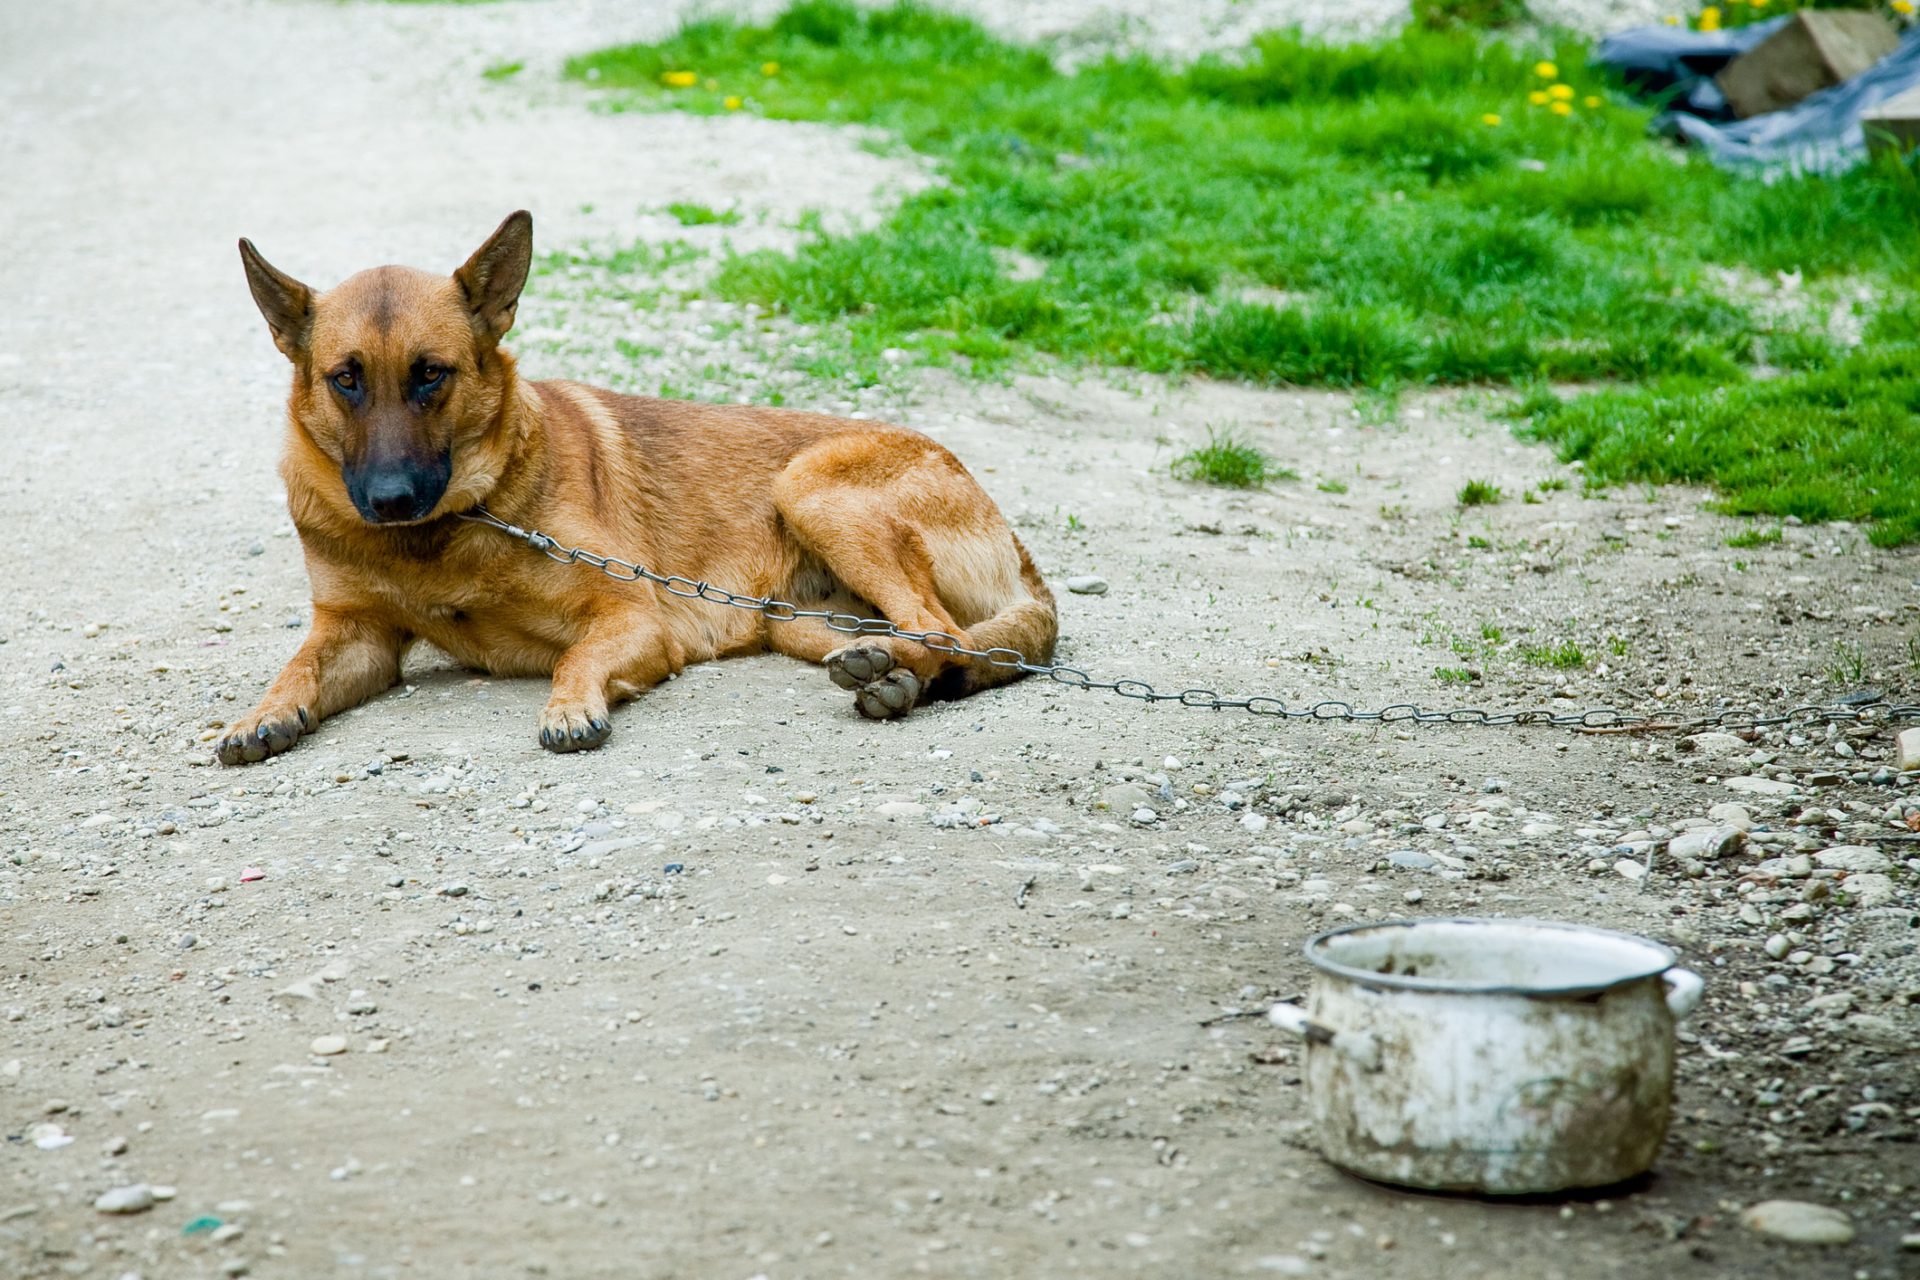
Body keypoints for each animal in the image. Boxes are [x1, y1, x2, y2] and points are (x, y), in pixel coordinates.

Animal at [219, 213, 1059, 767]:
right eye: (346, 379)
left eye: (432, 374)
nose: (391, 501)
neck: (443, 534)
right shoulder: (355, 633)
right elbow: (297, 667)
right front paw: (263, 714)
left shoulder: (632, 615)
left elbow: (574, 660)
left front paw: (570, 707)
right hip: (801, 622)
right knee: (950, 645)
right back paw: (893, 679)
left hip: (810, 487)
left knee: (944, 632)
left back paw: (896, 676)